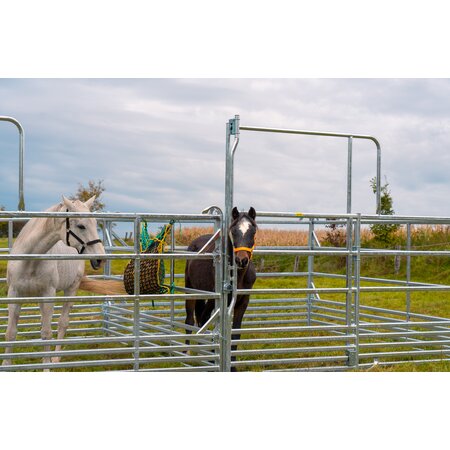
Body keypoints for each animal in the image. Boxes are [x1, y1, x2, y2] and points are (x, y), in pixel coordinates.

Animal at [2, 195, 105, 368]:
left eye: (95, 224)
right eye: (81, 226)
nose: (100, 259)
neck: (29, 259)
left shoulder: (48, 295)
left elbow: (46, 333)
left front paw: (47, 366)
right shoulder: (14, 294)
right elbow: (10, 333)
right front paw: (6, 364)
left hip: (71, 289)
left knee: (63, 323)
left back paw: (56, 358)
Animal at [185, 207, 258, 370]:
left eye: (253, 231)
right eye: (233, 231)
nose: (241, 260)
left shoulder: (243, 302)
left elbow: (235, 334)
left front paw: (233, 366)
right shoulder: (217, 300)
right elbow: (212, 327)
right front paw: (214, 361)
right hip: (191, 290)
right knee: (192, 320)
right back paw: (186, 353)